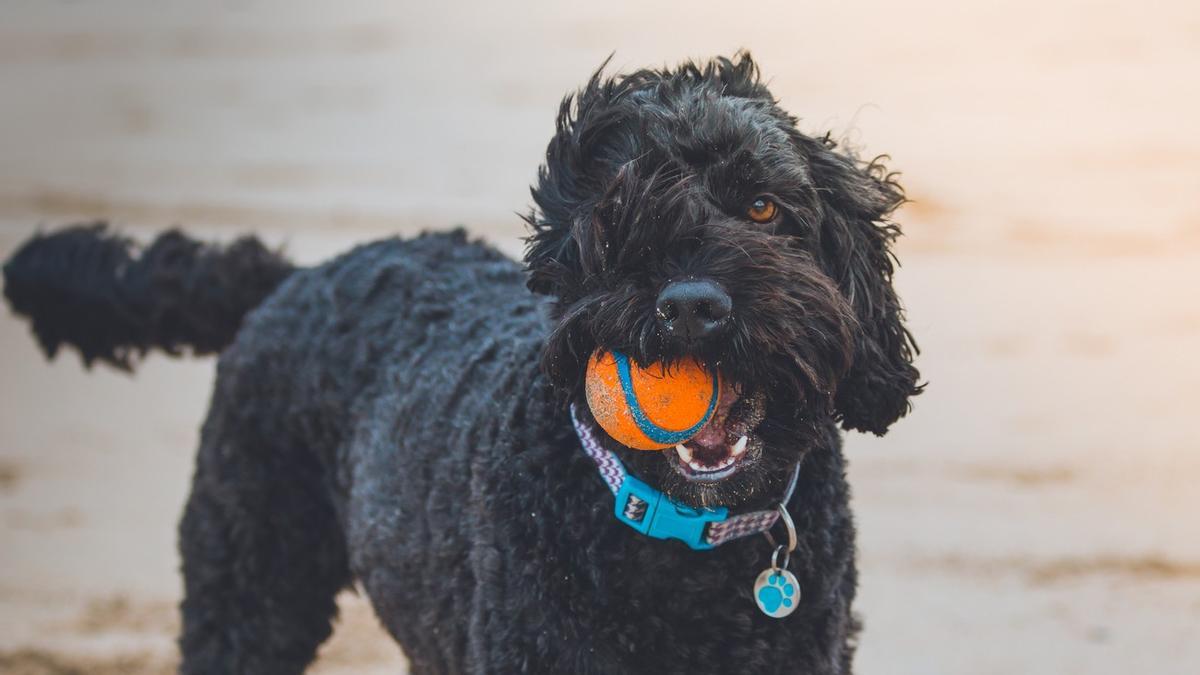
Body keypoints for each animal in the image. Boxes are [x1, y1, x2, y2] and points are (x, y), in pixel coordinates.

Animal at [4, 55, 916, 667]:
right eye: (616, 214)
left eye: (762, 205)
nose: (692, 304)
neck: (682, 539)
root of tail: (296, 274)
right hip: (249, 583)